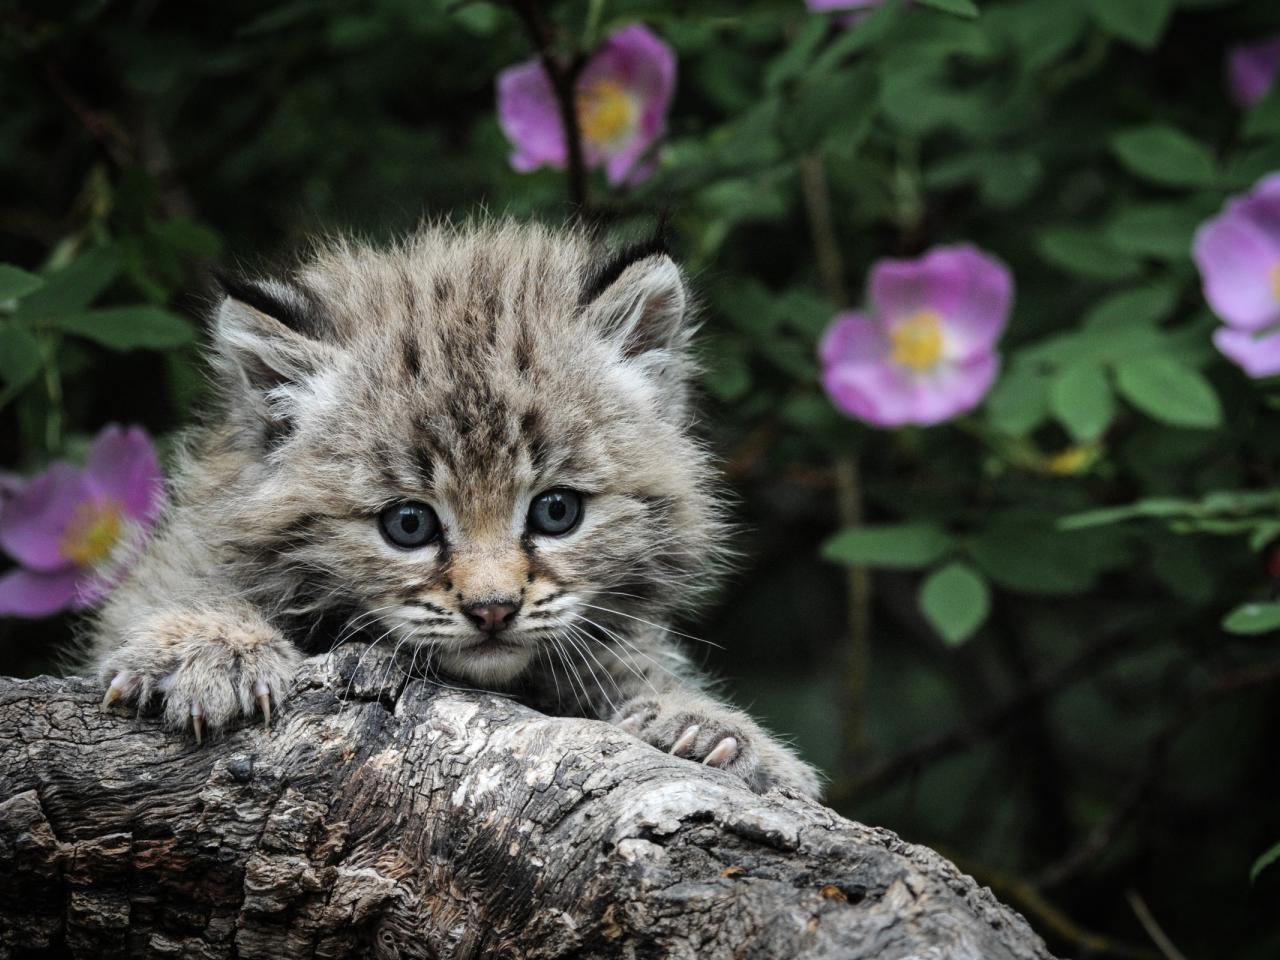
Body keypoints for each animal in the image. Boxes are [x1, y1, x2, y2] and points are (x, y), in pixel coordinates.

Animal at [94, 224, 824, 798]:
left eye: (556, 511)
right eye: (408, 524)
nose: (493, 610)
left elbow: (632, 661)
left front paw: (705, 728)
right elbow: (182, 586)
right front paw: (211, 647)